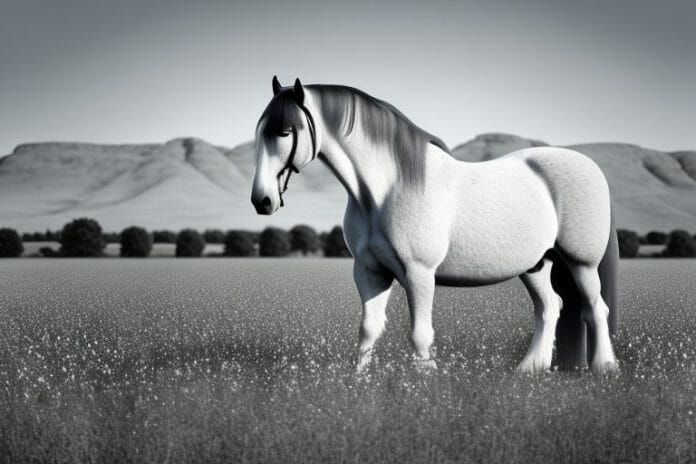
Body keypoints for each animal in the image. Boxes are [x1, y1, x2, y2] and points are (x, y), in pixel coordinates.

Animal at [251, 76, 619, 373]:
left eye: (286, 131)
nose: (262, 201)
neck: (385, 189)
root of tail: (590, 166)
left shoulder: (419, 273)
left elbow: (420, 333)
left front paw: (424, 387)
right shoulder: (370, 271)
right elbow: (368, 329)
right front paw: (360, 383)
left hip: (582, 263)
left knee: (595, 308)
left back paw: (604, 368)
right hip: (536, 264)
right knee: (549, 307)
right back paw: (530, 369)